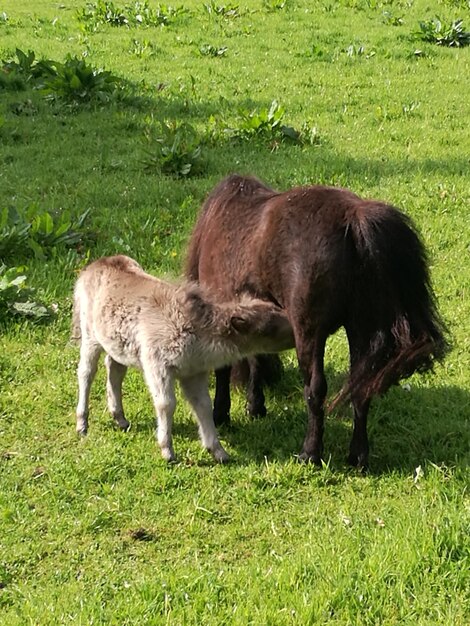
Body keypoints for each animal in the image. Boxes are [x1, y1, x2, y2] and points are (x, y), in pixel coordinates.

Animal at [185, 173, 450, 466]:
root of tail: (354, 216)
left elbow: (225, 367)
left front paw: (221, 414)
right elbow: (255, 358)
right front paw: (255, 405)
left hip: (309, 334)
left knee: (315, 390)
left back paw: (310, 452)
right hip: (361, 331)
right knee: (361, 388)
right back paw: (358, 456)